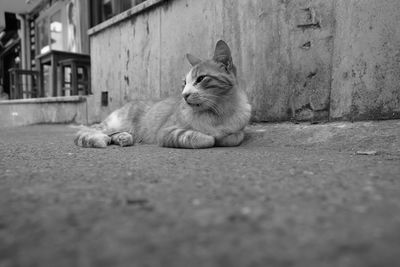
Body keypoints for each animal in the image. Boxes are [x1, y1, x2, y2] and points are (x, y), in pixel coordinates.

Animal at [73, 40, 252, 149]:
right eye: (184, 83)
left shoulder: (239, 130)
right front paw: (211, 137)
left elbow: (235, 137)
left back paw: (122, 138)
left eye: (200, 79)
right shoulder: (166, 133)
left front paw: (223, 136)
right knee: (84, 133)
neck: (219, 112)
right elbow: (205, 139)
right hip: (112, 125)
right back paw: (101, 139)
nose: (184, 95)